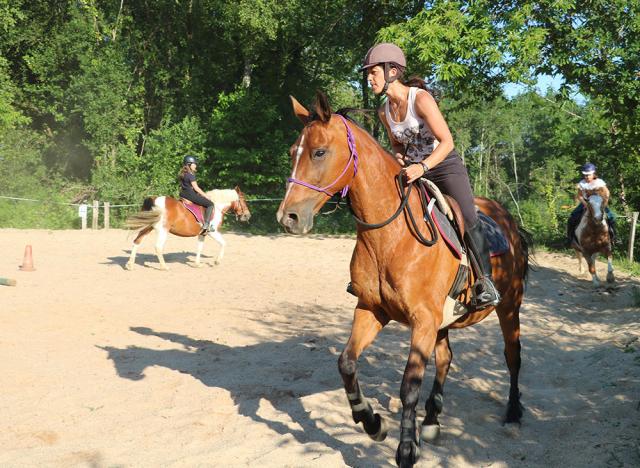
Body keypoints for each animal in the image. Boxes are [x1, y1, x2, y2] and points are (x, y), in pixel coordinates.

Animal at [276, 93, 528, 466]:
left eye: (319, 152)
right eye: (294, 151)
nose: (288, 217)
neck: (391, 236)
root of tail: (507, 219)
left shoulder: (422, 321)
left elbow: (409, 385)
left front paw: (406, 449)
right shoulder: (373, 310)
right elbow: (346, 363)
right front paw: (371, 422)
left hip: (509, 306)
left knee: (513, 356)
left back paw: (512, 412)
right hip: (443, 321)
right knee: (445, 358)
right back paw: (432, 420)